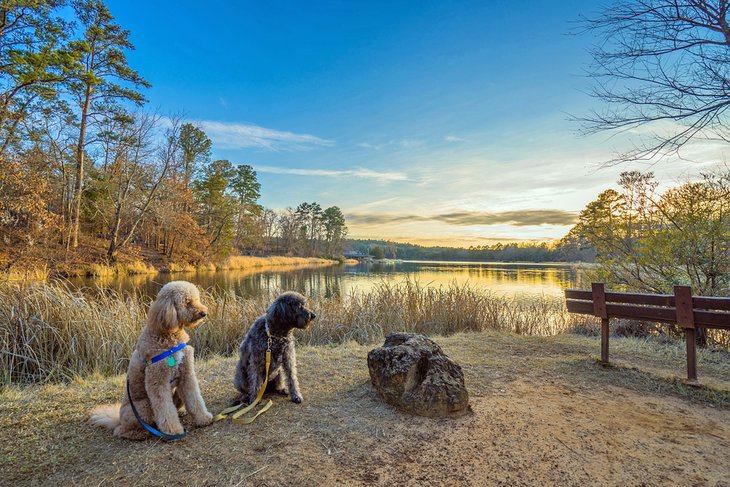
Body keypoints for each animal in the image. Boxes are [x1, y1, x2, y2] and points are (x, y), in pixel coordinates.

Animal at [88, 280, 212, 440]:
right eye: (187, 302)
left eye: (197, 299)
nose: (204, 313)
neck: (168, 335)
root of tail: (118, 419)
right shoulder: (157, 381)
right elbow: (165, 409)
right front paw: (173, 431)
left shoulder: (187, 375)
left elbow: (194, 398)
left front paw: (203, 418)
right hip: (143, 406)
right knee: (122, 431)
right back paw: (141, 433)